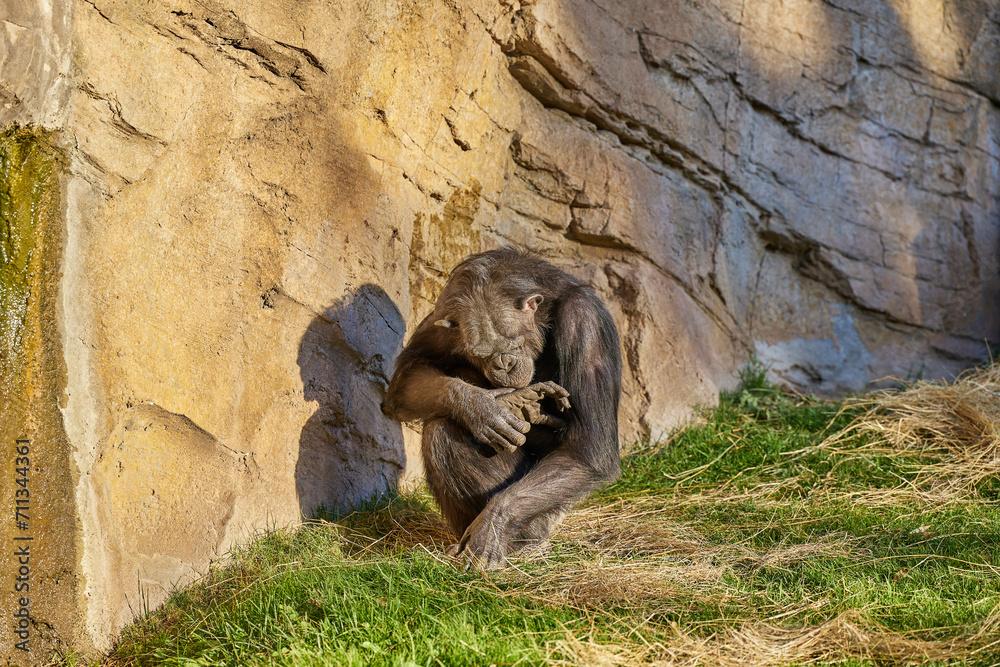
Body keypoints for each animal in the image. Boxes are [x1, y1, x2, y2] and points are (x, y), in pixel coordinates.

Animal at [380, 248, 616, 572]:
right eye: (483, 353)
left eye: (513, 344)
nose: (503, 363)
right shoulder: (443, 320)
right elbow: (407, 378)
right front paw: (481, 406)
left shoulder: (584, 322)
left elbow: (586, 451)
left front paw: (493, 523)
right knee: (441, 430)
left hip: (549, 518)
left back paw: (520, 545)